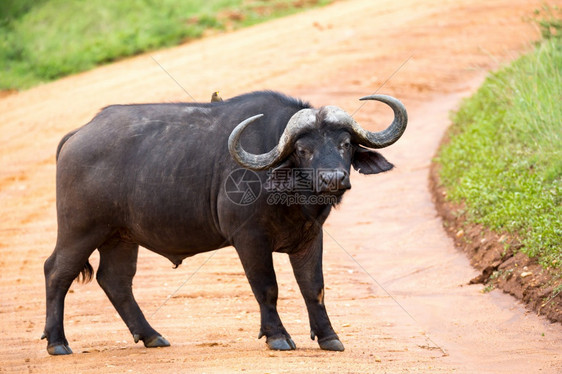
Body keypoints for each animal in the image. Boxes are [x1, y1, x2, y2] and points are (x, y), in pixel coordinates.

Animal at [41, 90, 404, 354]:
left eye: (346, 144)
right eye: (303, 150)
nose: (333, 179)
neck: (289, 196)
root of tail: (77, 135)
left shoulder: (310, 237)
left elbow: (314, 288)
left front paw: (329, 337)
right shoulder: (250, 240)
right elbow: (267, 287)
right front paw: (278, 336)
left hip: (120, 237)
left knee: (115, 281)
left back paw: (152, 336)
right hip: (80, 231)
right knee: (56, 272)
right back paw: (57, 342)